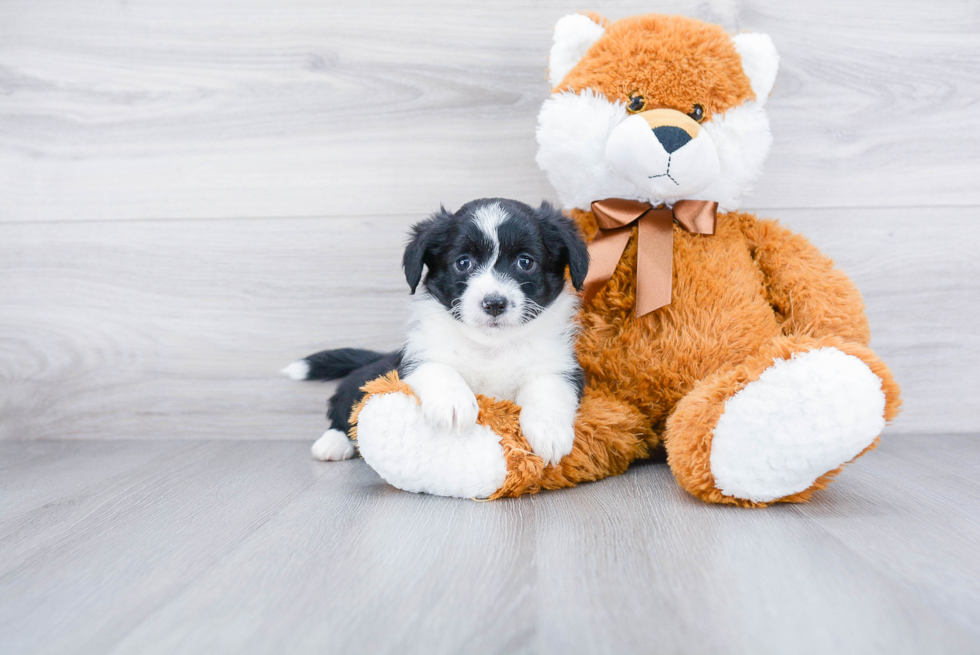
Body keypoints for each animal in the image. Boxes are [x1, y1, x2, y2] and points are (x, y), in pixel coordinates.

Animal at [284, 199, 588, 466]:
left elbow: (548, 389)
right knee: (344, 408)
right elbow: (439, 369)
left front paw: (549, 431)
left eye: (525, 262)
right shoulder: (418, 357)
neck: (491, 346)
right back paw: (333, 443)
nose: (493, 303)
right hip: (369, 377)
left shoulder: (561, 367)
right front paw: (453, 404)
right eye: (463, 263)